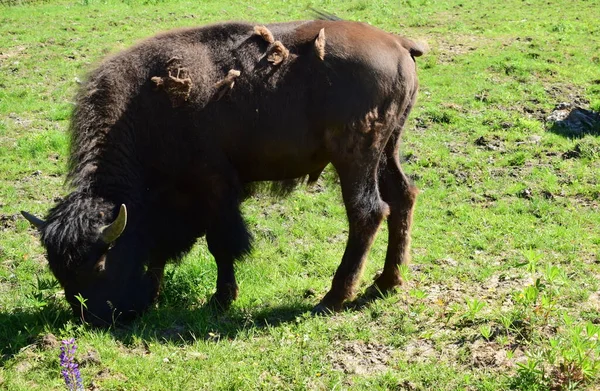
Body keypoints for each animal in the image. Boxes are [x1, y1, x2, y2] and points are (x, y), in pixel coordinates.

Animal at [23, 16, 424, 328]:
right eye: (58, 272)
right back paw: (386, 283)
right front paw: (159, 293)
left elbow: (221, 245)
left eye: (100, 266)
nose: (94, 320)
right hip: (387, 149)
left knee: (367, 212)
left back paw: (332, 298)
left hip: (355, 158)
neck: (142, 113)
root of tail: (398, 44)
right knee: (402, 196)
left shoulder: (214, 189)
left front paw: (220, 299)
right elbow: (163, 248)